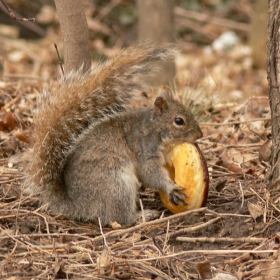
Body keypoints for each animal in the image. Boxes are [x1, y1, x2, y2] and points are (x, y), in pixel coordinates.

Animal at [24, 44, 202, 226]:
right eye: (179, 121)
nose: (199, 134)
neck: (154, 128)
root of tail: (78, 206)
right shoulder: (144, 148)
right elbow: (150, 173)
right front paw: (170, 188)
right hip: (117, 185)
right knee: (120, 217)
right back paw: (141, 215)